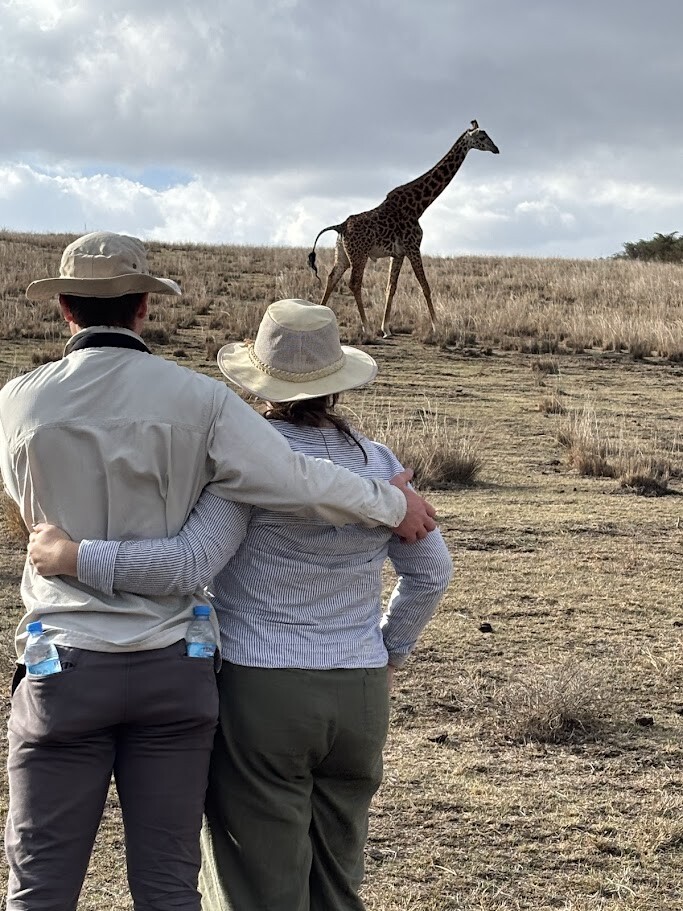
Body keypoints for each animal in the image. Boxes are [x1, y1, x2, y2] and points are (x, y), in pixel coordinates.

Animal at [308, 120, 499, 338]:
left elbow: (391, 287)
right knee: (354, 283)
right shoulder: (413, 246)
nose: (496, 149)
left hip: (342, 255)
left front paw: (386, 328)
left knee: (332, 278)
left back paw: (323, 317)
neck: (419, 206)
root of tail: (340, 227)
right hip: (359, 255)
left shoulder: (398, 253)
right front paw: (437, 327)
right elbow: (425, 285)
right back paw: (366, 327)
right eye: (482, 137)